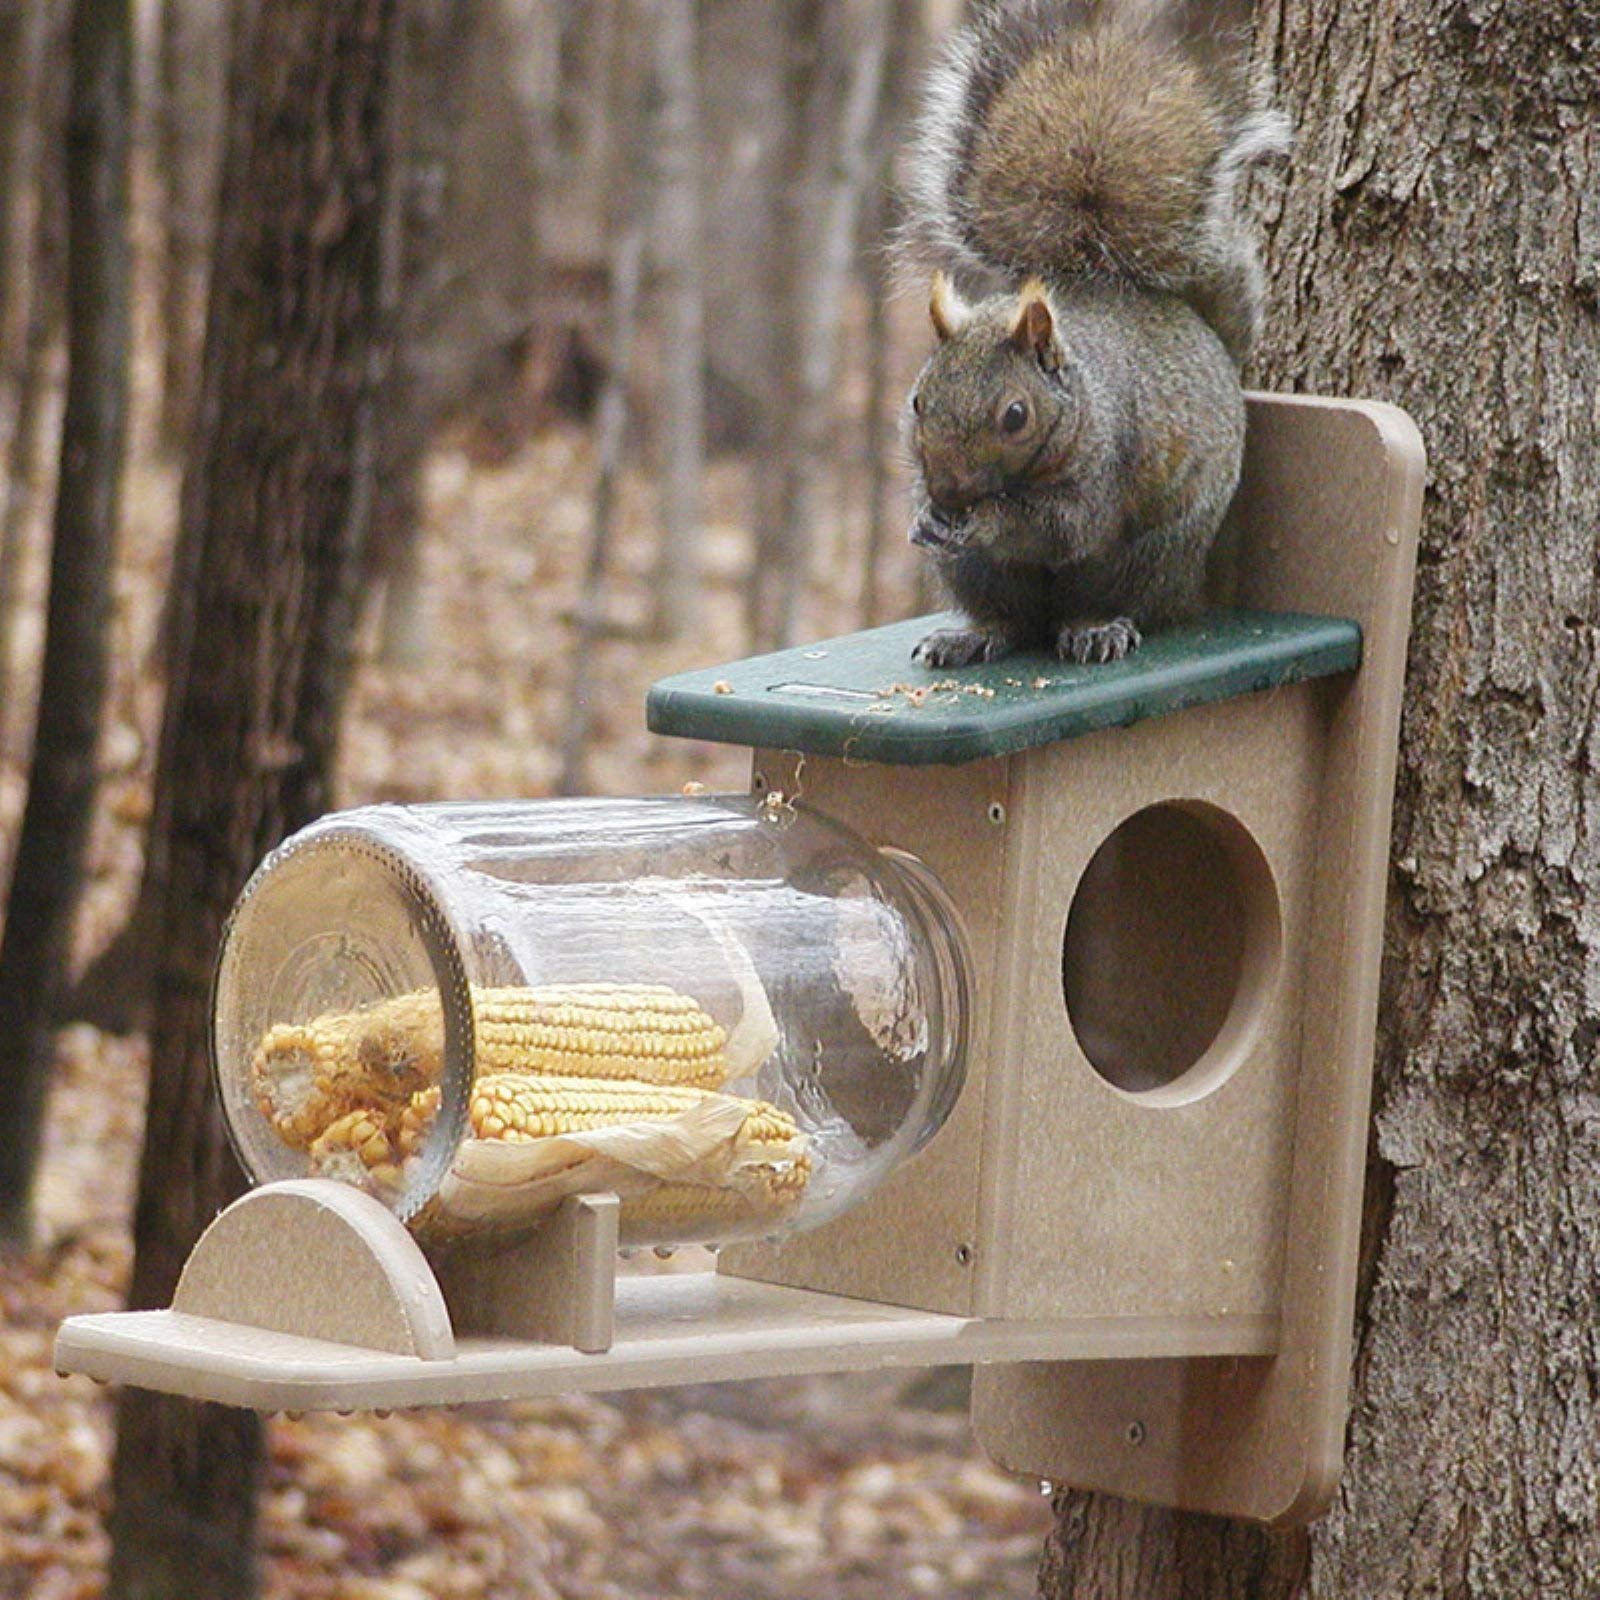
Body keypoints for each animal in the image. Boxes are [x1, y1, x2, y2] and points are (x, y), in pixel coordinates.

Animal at [897, 0, 1288, 668]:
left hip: (1147, 556)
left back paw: (1096, 627)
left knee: (1108, 598)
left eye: (1016, 416)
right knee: (1011, 620)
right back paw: (971, 635)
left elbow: (1058, 526)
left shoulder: (1103, 465)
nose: (948, 495)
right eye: (918, 401)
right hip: (976, 575)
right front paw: (924, 516)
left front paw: (988, 520)